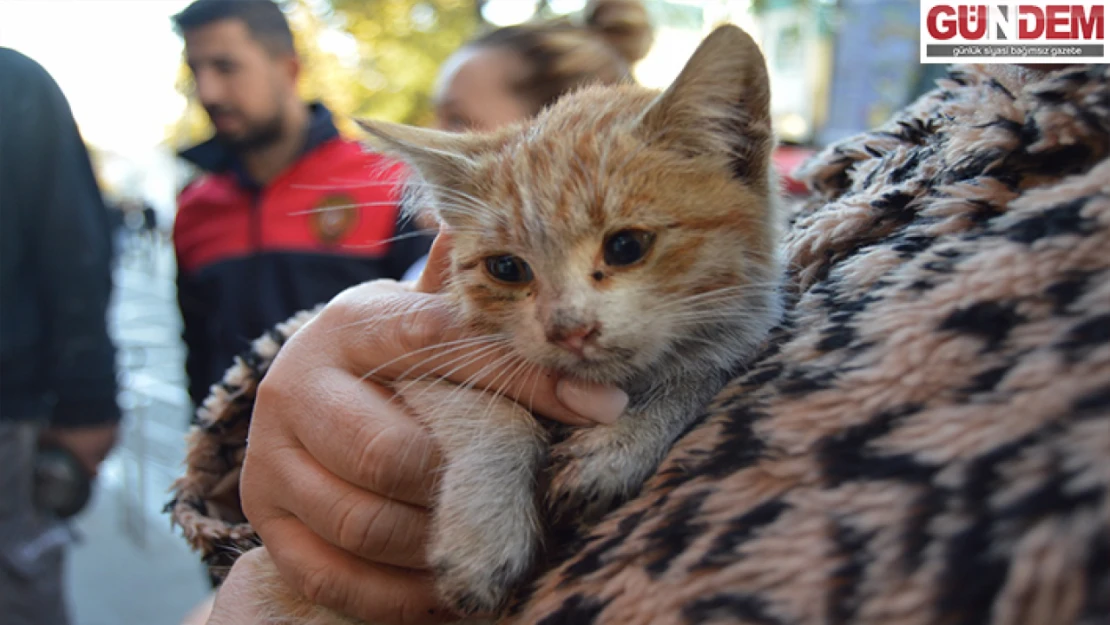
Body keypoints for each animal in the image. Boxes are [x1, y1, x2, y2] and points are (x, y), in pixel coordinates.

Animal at [253, 24, 781, 625]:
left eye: (627, 245)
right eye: (506, 268)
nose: (567, 328)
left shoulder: (742, 327)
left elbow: (701, 372)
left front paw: (623, 443)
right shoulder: (422, 360)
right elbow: (493, 413)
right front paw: (484, 536)